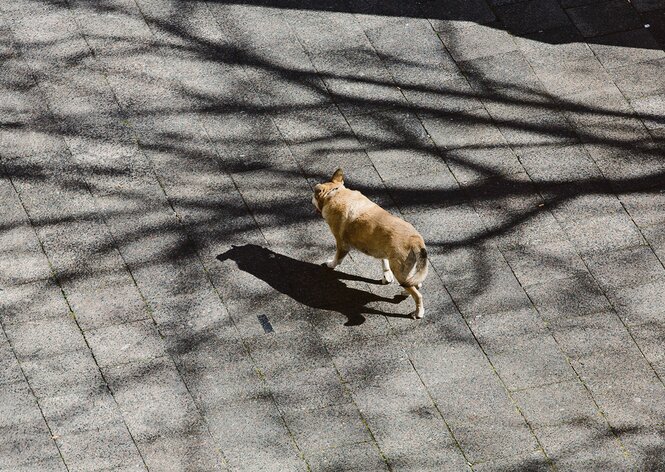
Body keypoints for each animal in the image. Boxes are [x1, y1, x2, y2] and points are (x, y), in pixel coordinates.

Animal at [310, 168, 428, 318]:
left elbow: (337, 259)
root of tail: (415, 239)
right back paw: (405, 292)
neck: (335, 192)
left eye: (314, 196)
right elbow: (384, 261)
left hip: (400, 272)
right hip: (408, 271)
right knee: (416, 284)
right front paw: (386, 276)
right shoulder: (382, 248)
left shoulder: (342, 244)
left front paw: (330, 264)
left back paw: (418, 312)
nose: (310, 200)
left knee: (418, 295)